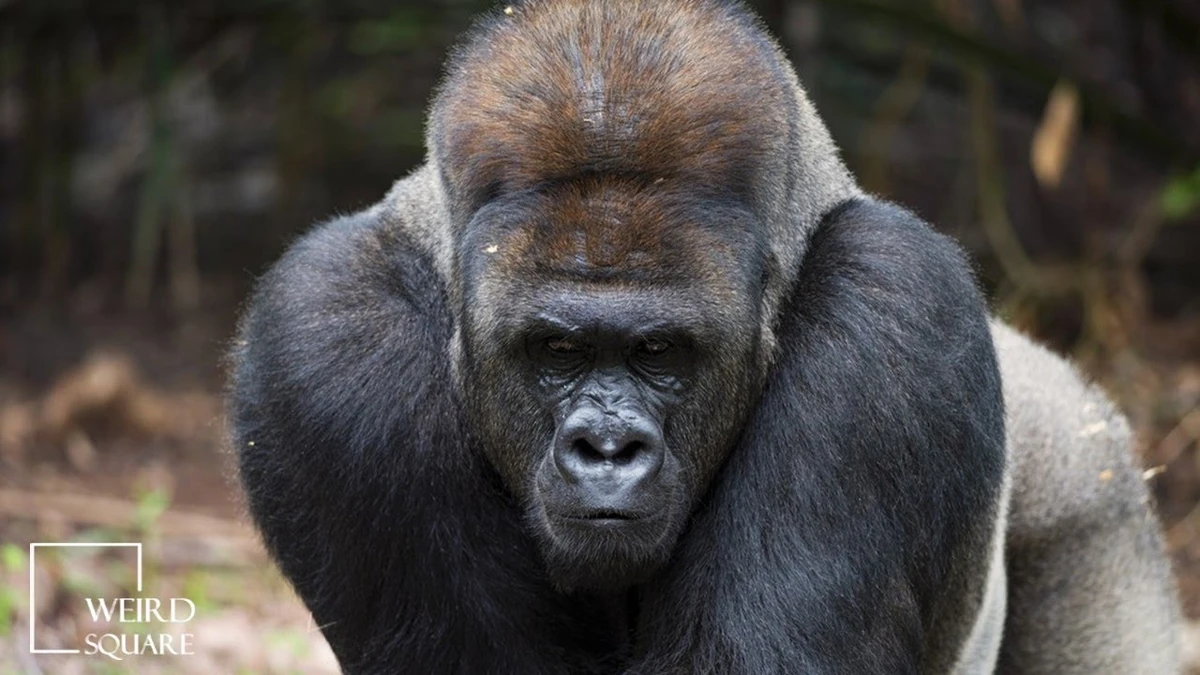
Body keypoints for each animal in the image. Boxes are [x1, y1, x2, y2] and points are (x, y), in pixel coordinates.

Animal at [228, 1, 1181, 673]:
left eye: (660, 352)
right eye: (556, 351)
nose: (607, 447)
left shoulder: (900, 305)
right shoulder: (323, 338)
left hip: (1086, 479)